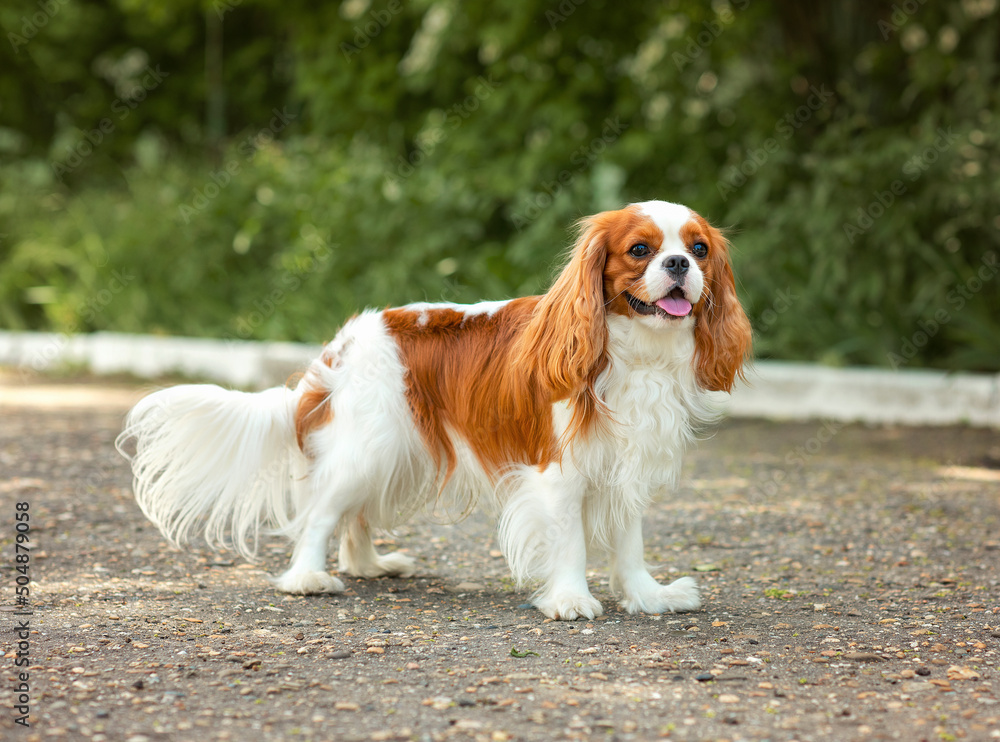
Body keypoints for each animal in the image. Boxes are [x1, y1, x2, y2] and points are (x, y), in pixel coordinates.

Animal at [117, 199, 752, 620]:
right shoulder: (558, 470)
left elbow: (629, 541)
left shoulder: (625, 464)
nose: (679, 265)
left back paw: (368, 567)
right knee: (321, 512)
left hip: (394, 451)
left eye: (698, 249)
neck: (633, 353)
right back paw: (308, 578)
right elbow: (570, 538)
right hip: (368, 445)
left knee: (354, 515)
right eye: (640, 250)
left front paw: (648, 597)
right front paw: (572, 599)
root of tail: (340, 343)